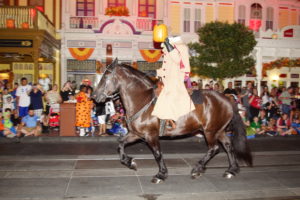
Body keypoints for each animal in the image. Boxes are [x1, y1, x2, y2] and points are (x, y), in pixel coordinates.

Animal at [93, 59, 251, 183]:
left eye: (106, 76)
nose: (94, 96)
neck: (142, 100)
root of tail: (226, 98)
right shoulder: (137, 134)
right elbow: (120, 144)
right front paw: (130, 162)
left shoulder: (151, 135)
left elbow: (157, 154)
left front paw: (161, 174)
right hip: (219, 130)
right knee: (228, 146)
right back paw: (231, 170)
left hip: (210, 131)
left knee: (214, 149)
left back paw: (198, 168)